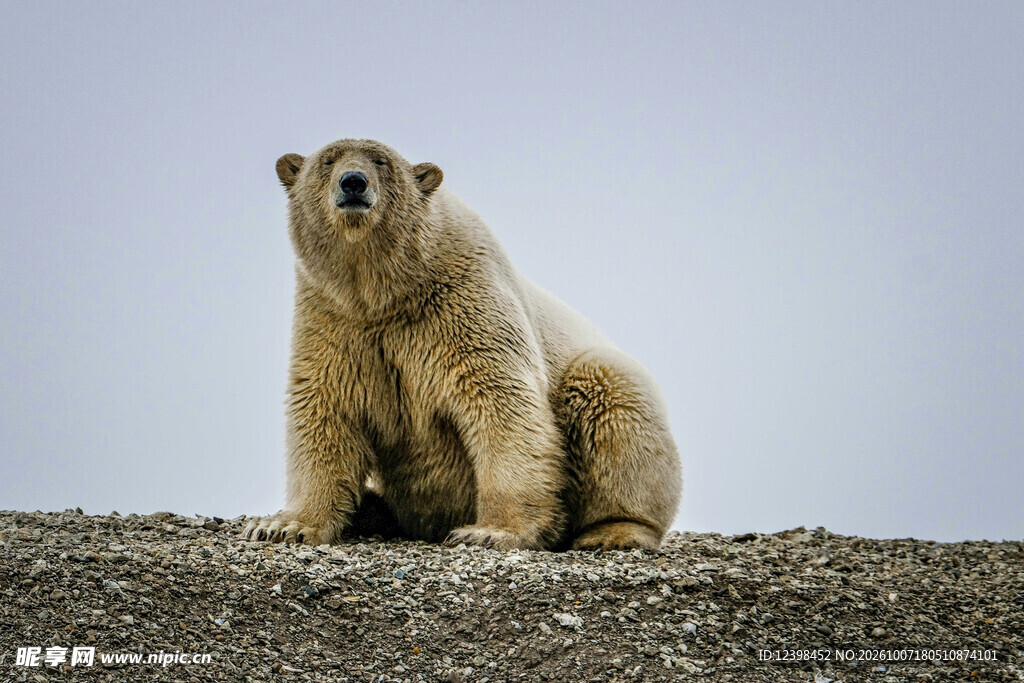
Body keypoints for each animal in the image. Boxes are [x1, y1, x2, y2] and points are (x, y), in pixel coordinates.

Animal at [243, 139, 681, 550]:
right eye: (328, 160)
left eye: (381, 161)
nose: (353, 182)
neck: (386, 291)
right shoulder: (334, 320)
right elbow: (324, 409)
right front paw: (282, 526)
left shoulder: (466, 304)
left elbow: (502, 404)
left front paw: (490, 531)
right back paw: (369, 509)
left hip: (601, 380)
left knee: (611, 400)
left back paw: (614, 531)